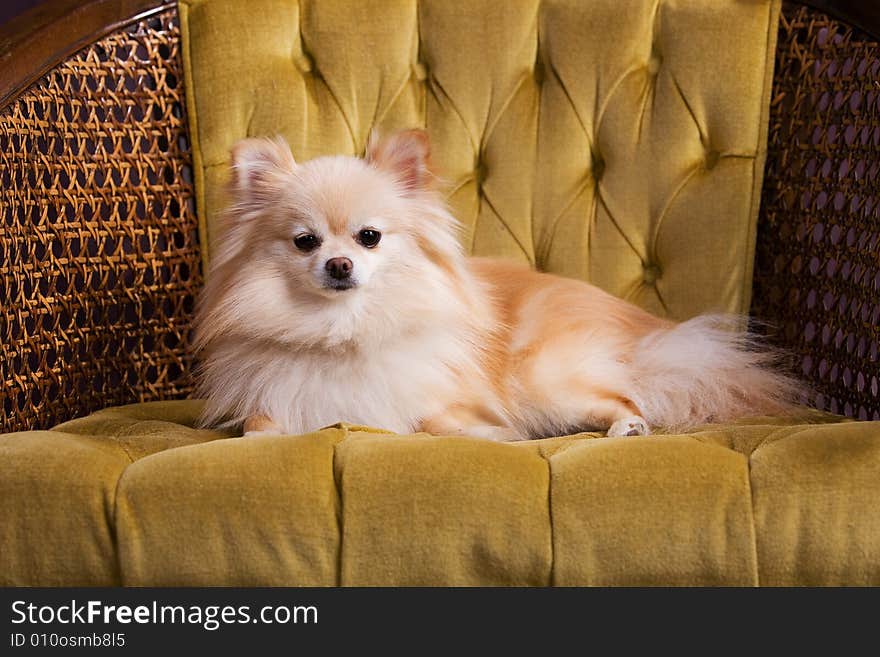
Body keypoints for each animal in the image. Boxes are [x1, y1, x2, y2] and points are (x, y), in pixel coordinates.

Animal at [196, 127, 800, 440]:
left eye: (369, 237)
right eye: (305, 242)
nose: (340, 265)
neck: (343, 330)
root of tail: (650, 336)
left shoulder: (444, 405)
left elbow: (435, 423)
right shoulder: (274, 405)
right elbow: (259, 429)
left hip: (544, 378)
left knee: (629, 397)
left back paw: (628, 427)